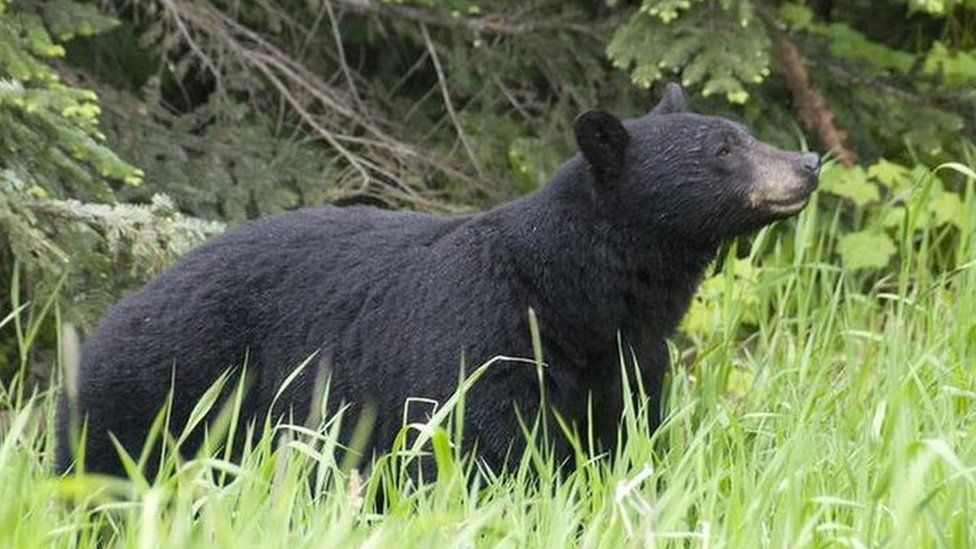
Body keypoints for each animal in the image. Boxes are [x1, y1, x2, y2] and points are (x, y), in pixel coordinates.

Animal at [57, 84, 820, 476]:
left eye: (741, 131)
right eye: (723, 150)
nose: (809, 162)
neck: (575, 297)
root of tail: (111, 314)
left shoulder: (626, 358)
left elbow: (621, 437)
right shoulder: (481, 337)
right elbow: (481, 446)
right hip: (165, 388)